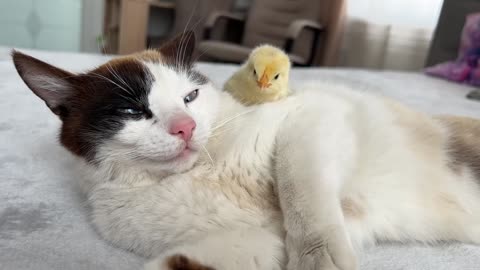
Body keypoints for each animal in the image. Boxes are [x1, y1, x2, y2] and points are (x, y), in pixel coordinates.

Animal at [11, 32, 480, 270]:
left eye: (190, 96)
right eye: (132, 110)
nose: (186, 127)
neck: (200, 174)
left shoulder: (314, 115)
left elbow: (299, 188)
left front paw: (320, 260)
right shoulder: (252, 241)